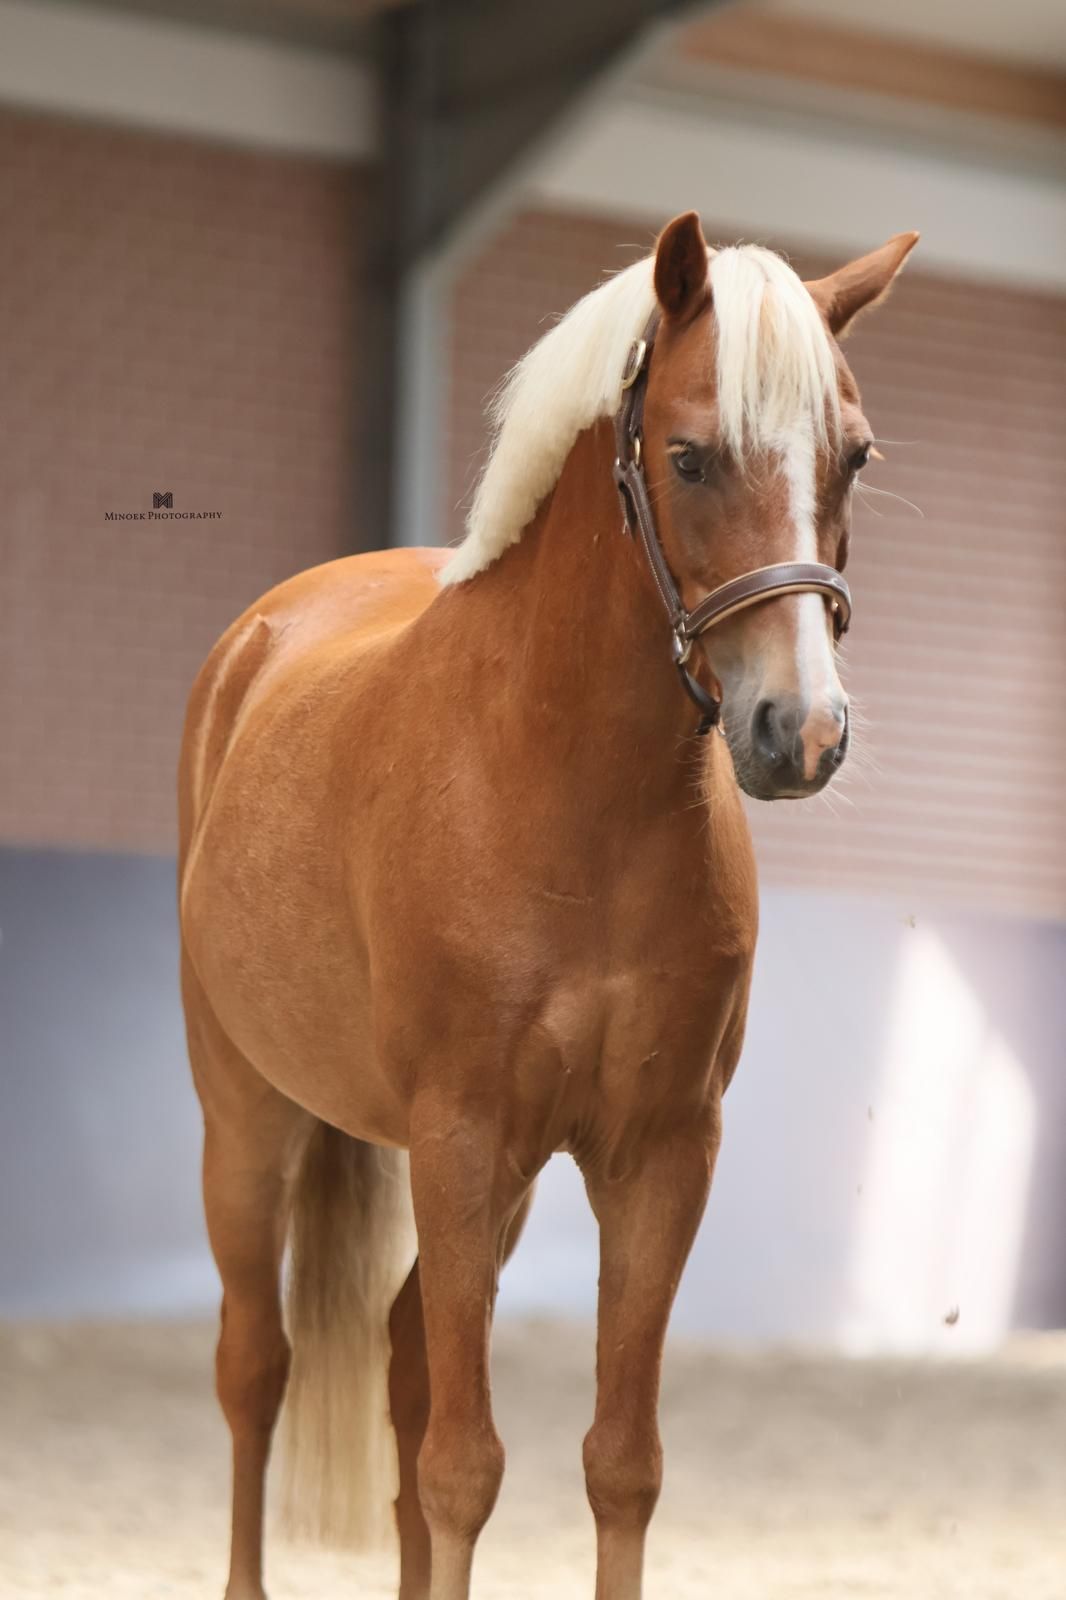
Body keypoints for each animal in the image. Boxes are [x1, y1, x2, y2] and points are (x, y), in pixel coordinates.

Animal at [178, 209, 917, 1600]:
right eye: (686, 455)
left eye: (852, 456)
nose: (798, 734)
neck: (568, 791)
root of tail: (254, 641)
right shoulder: (461, 1140)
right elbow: (465, 1467)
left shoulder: (656, 1153)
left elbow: (616, 1463)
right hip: (248, 1114)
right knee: (255, 1364)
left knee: (405, 1366)